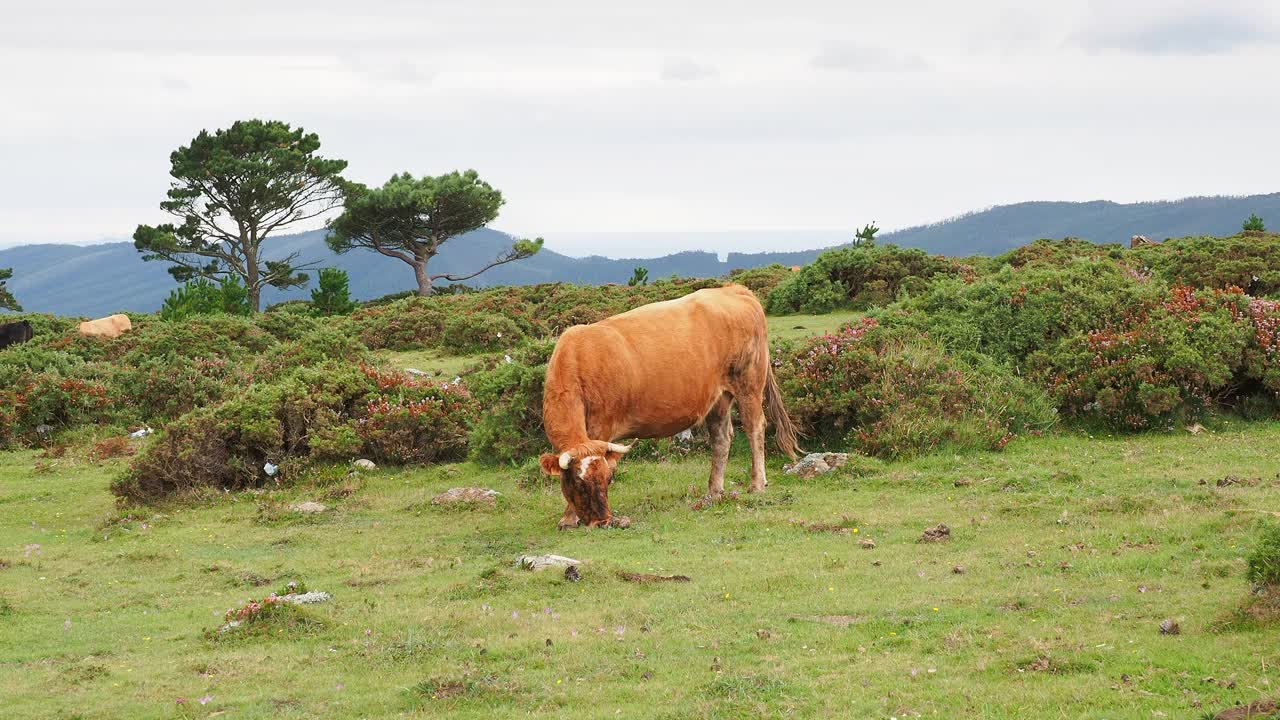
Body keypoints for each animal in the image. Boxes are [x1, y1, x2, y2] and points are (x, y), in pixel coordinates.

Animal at [537, 281, 798, 527]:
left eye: (608, 479)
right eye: (578, 482)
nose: (603, 521)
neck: (577, 362)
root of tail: (733, 289)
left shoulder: (602, 426)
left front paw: (568, 518)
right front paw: (569, 518)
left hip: (749, 384)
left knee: (755, 428)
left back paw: (757, 484)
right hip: (719, 397)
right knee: (721, 438)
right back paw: (714, 492)